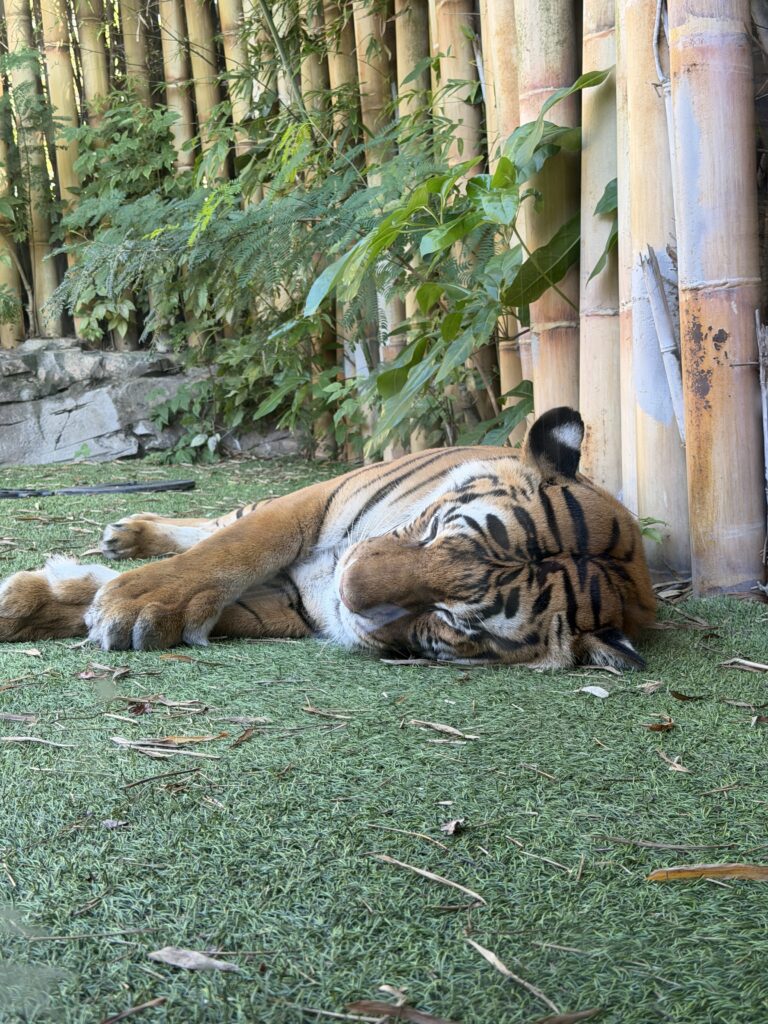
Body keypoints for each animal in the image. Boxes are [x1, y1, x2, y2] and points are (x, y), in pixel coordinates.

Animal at [0, 407, 656, 668]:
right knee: (212, 526)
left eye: (457, 623)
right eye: (437, 529)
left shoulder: (292, 604)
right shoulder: (307, 505)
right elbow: (230, 549)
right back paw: (128, 534)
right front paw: (135, 599)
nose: (346, 586)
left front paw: (48, 604)